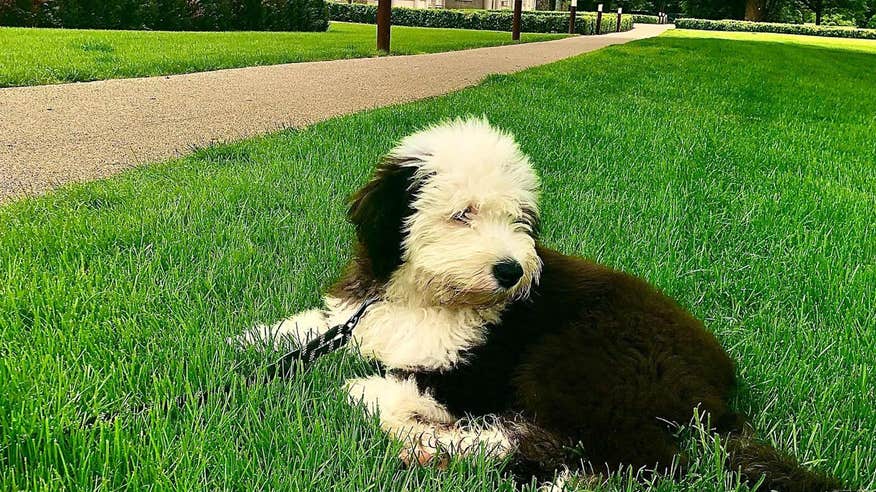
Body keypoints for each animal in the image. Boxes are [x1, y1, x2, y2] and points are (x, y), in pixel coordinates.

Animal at [233, 117, 840, 490]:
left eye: (518, 218)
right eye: (463, 213)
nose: (513, 271)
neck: (427, 298)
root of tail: (717, 387)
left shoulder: (476, 370)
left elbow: (400, 381)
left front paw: (374, 387)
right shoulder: (357, 313)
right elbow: (316, 327)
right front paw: (250, 341)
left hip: (581, 360)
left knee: (641, 457)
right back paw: (437, 446)